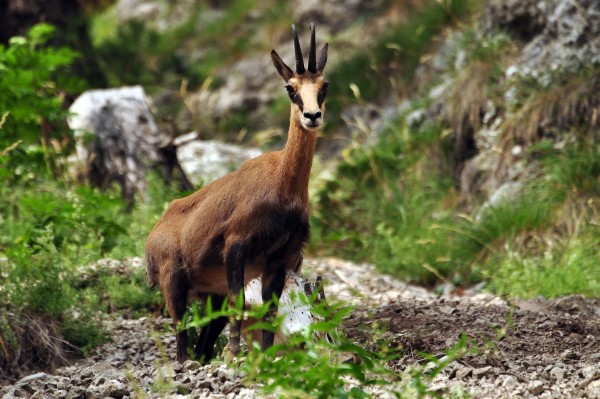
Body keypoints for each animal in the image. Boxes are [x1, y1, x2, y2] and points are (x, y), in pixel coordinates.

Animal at [147, 23, 330, 364]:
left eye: (324, 84)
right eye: (290, 87)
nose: (312, 116)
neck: (282, 185)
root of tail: (157, 229)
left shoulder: (279, 260)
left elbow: (269, 313)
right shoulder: (236, 247)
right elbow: (240, 302)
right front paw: (234, 354)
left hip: (210, 295)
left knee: (205, 340)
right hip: (173, 283)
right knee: (181, 330)